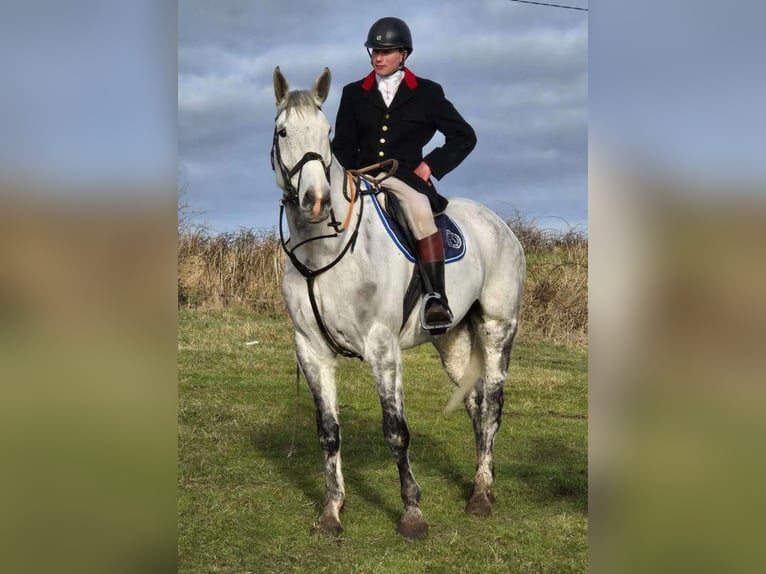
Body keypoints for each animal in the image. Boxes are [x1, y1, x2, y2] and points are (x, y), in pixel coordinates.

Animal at [270, 67, 528, 540]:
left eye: (325, 132)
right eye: (283, 132)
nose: (315, 201)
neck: (324, 248)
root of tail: (499, 223)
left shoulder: (382, 347)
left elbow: (396, 431)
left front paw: (412, 513)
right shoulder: (311, 350)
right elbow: (328, 432)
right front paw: (332, 512)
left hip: (498, 328)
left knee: (493, 406)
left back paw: (482, 495)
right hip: (451, 340)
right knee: (475, 403)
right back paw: (481, 481)